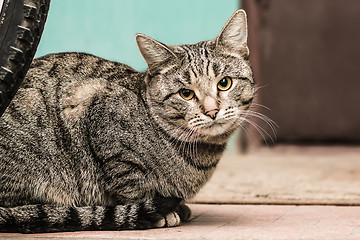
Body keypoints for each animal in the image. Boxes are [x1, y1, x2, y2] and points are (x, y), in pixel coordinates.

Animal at [0, 9, 255, 232]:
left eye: (224, 83)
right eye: (186, 94)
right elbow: (132, 183)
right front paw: (160, 212)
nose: (212, 111)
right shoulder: (101, 119)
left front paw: (179, 207)